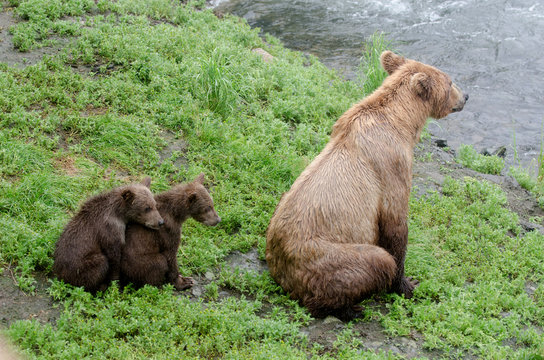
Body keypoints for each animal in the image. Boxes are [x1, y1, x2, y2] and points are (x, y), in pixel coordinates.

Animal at [264, 50, 468, 320]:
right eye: (450, 82)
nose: (466, 96)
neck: (403, 123)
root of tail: (283, 277)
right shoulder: (392, 165)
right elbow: (395, 226)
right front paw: (407, 284)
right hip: (326, 256)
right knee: (375, 261)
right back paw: (350, 308)